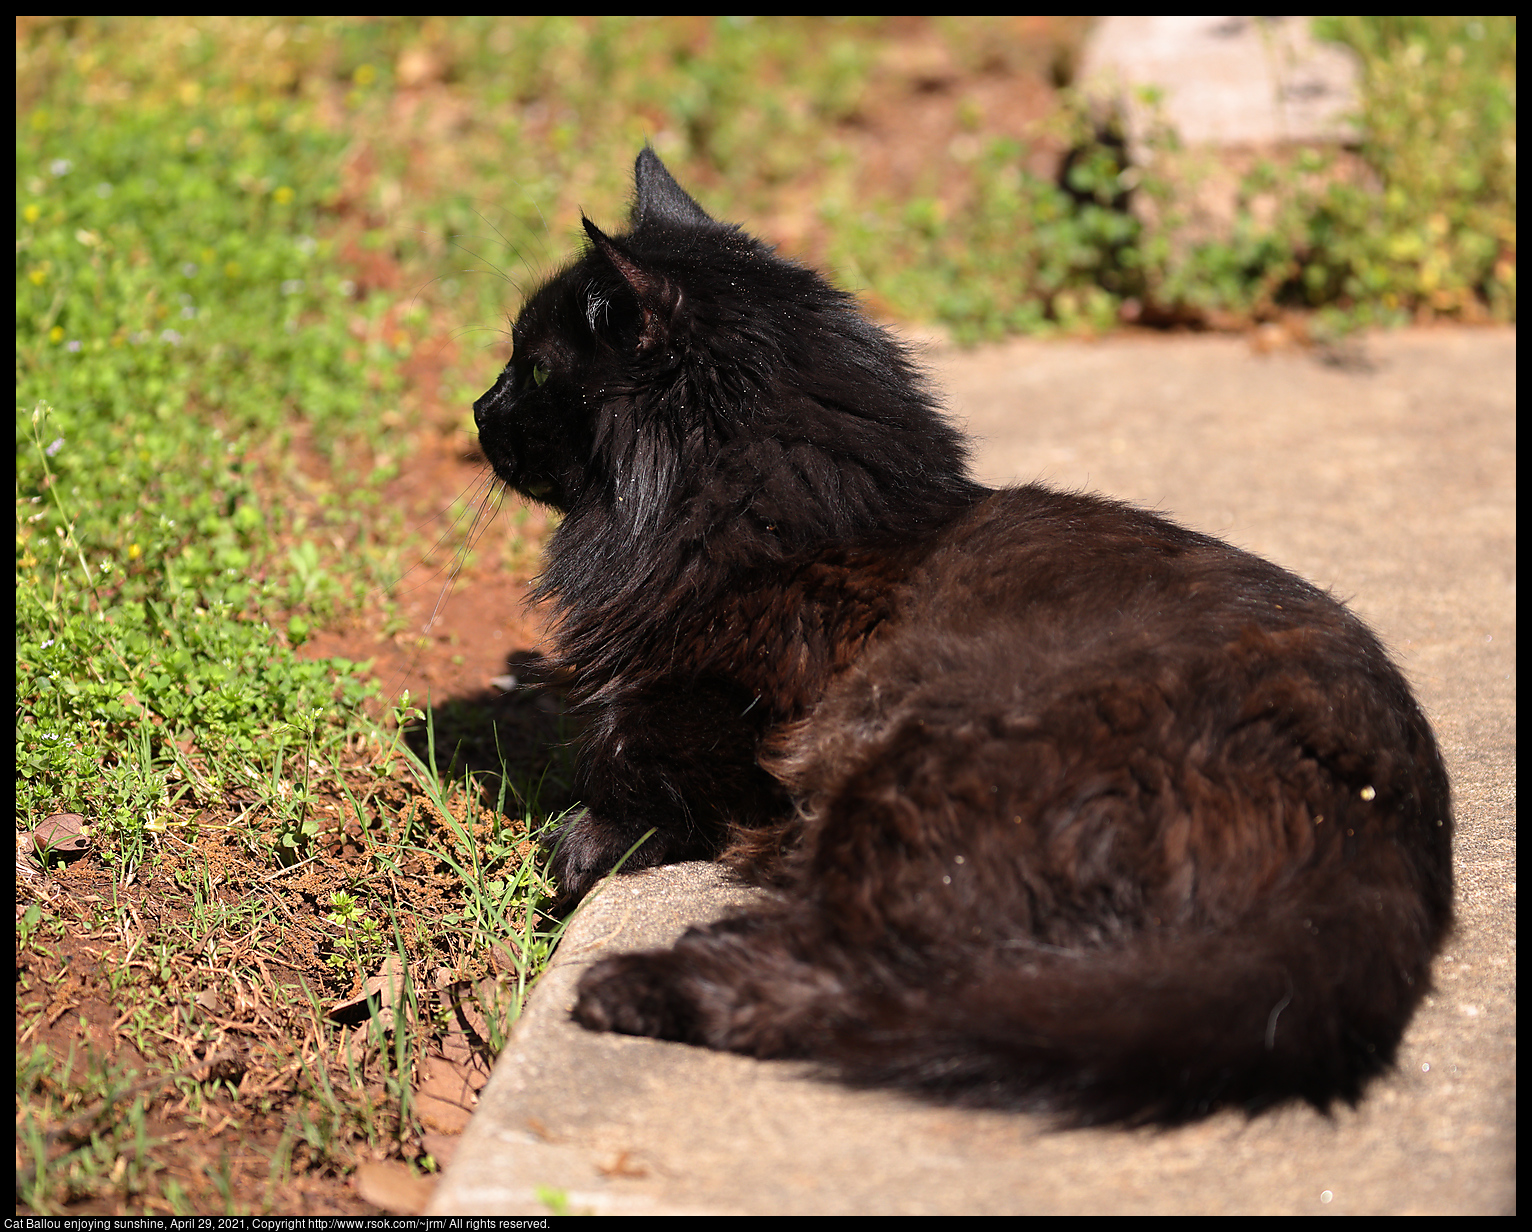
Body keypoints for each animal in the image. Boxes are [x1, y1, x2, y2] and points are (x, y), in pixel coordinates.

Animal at [471, 147, 1452, 1127]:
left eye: (537, 371)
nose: (479, 406)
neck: (787, 521)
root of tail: (1384, 830)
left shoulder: (734, 715)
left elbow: (623, 761)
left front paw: (577, 844)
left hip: (911, 770)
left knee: (860, 982)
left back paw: (636, 985)